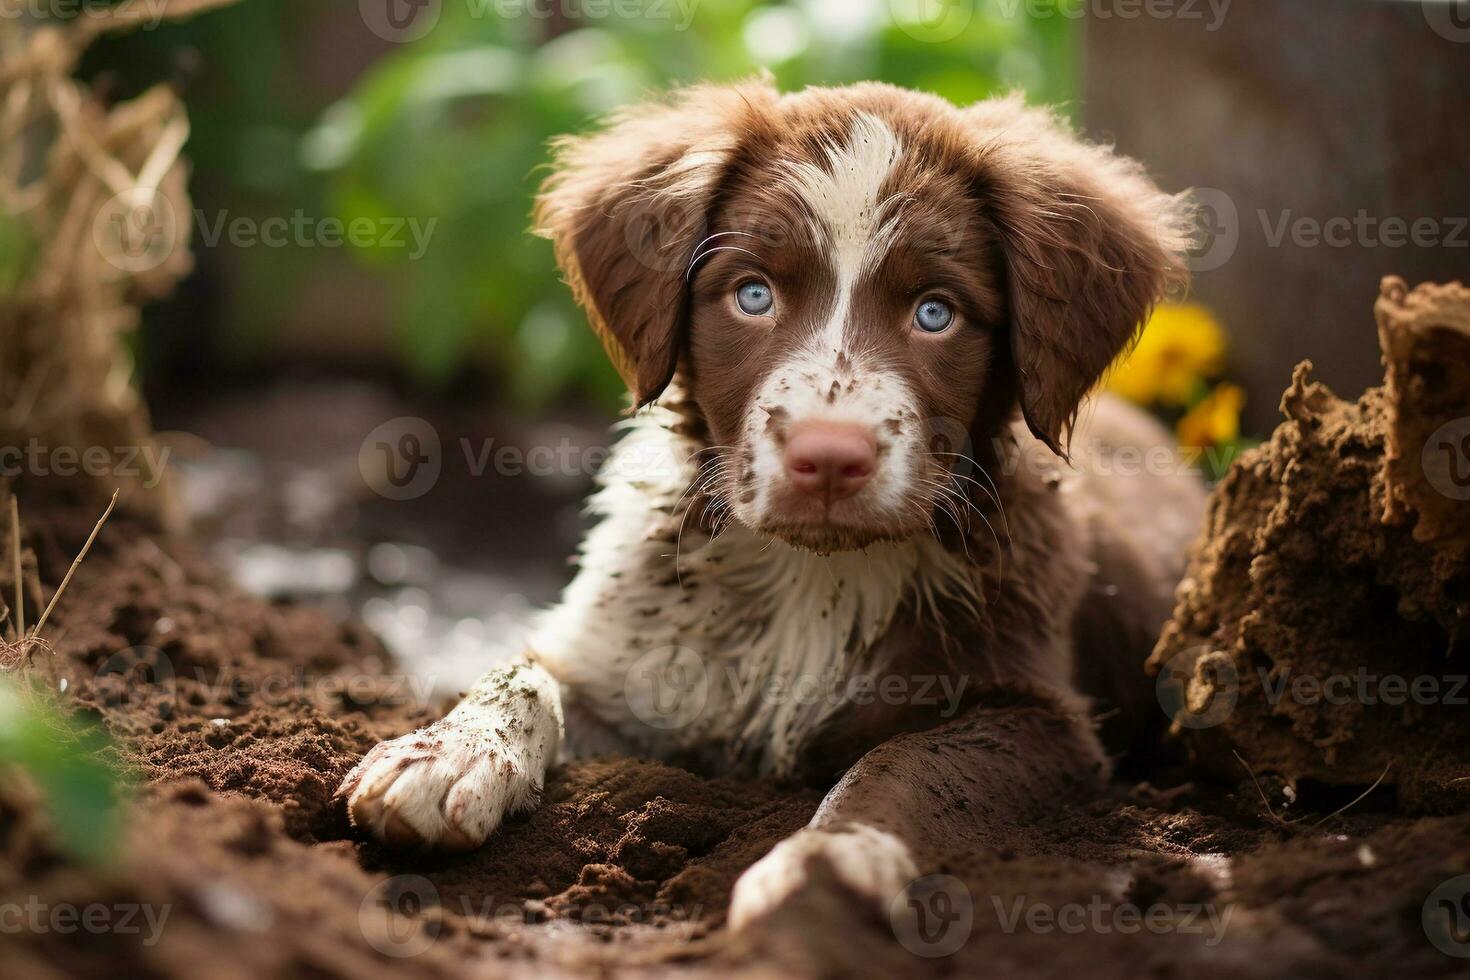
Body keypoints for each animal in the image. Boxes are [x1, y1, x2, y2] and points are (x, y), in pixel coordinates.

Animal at [341, 78, 1205, 928]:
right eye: (752, 295)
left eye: (936, 312)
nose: (829, 457)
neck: (810, 577)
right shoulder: (633, 673)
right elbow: (524, 671)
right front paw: (447, 754)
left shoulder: (1039, 715)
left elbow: (906, 762)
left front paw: (825, 864)